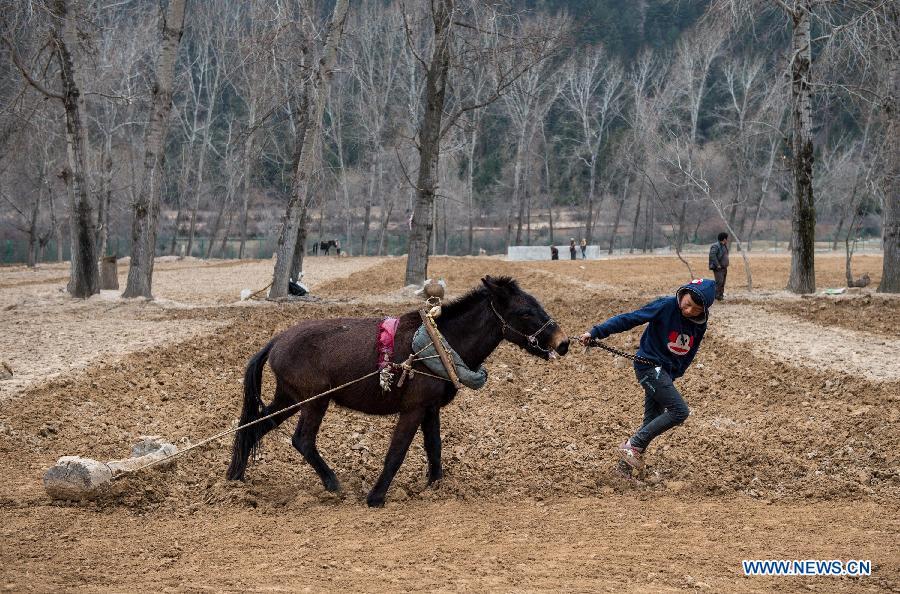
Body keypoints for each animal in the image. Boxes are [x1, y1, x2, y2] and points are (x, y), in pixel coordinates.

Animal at [227, 274, 568, 504]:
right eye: (524, 312)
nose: (562, 342)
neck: (436, 344)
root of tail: (276, 341)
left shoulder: (429, 409)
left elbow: (434, 447)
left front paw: (436, 487)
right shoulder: (413, 409)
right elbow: (397, 452)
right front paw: (376, 497)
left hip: (290, 399)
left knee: (253, 427)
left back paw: (235, 479)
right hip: (313, 402)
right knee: (302, 440)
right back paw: (333, 484)